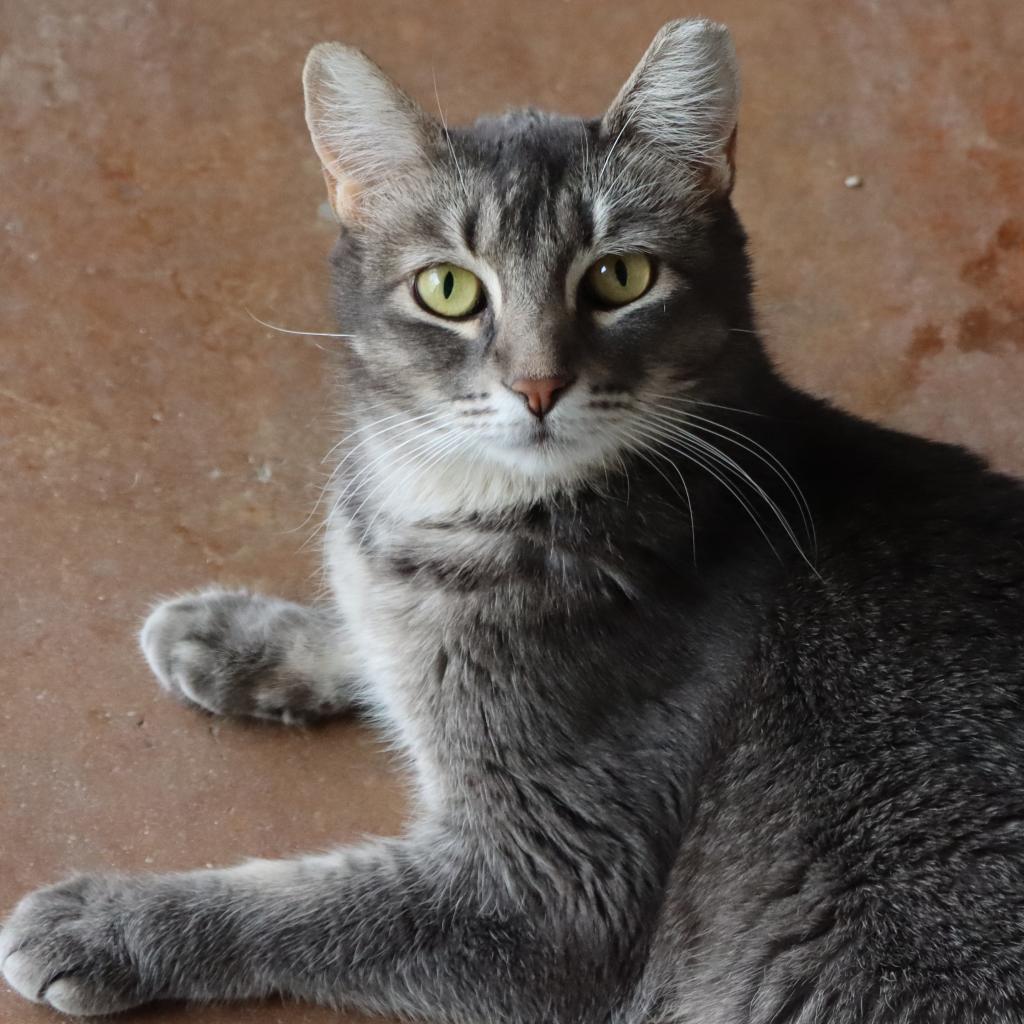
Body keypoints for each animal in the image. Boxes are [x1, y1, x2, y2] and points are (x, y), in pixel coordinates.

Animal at [2, 16, 1024, 1024]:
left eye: (621, 276)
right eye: (448, 289)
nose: (538, 384)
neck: (463, 503)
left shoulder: (549, 888)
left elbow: (302, 907)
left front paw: (111, 923)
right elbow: (372, 634)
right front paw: (237, 634)